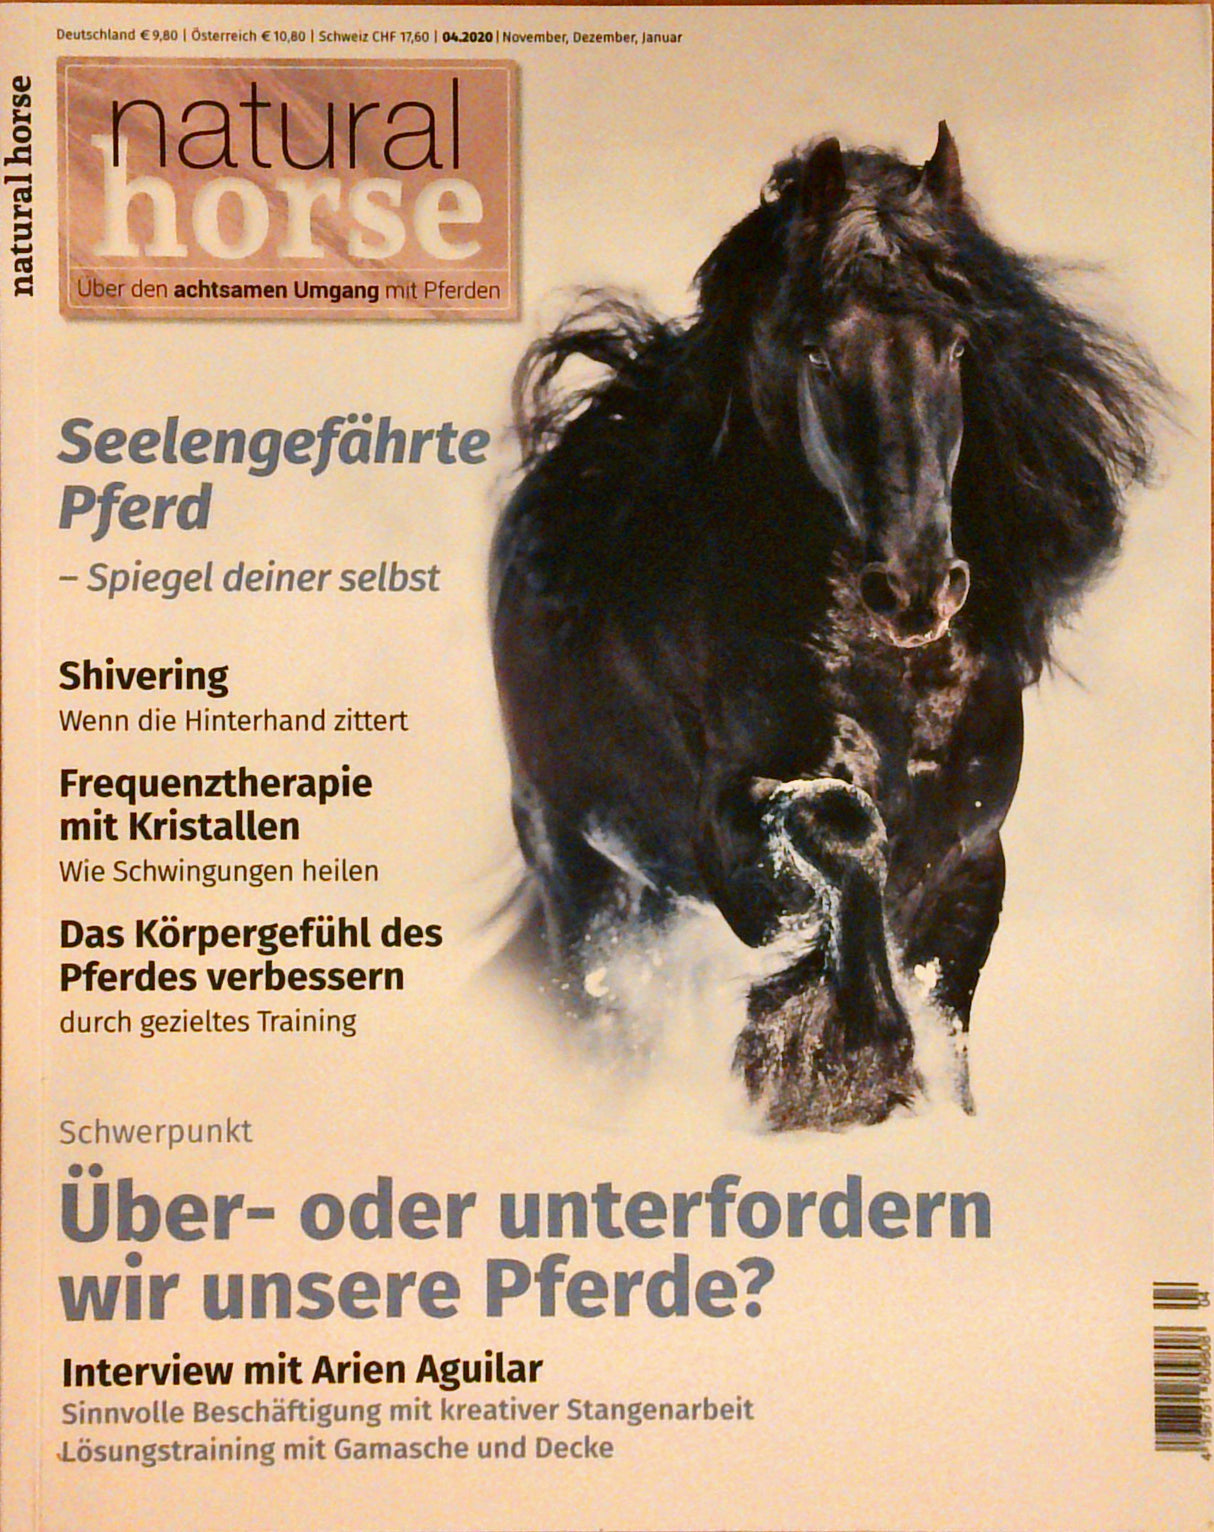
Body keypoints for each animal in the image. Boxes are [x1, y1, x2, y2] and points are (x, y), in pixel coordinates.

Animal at [490, 124, 1160, 1129]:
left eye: (956, 346)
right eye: (814, 352)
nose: (915, 588)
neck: (898, 690)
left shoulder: (971, 868)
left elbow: (951, 1030)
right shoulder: (733, 858)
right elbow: (840, 832)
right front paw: (842, 1055)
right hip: (584, 877)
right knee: (604, 1019)